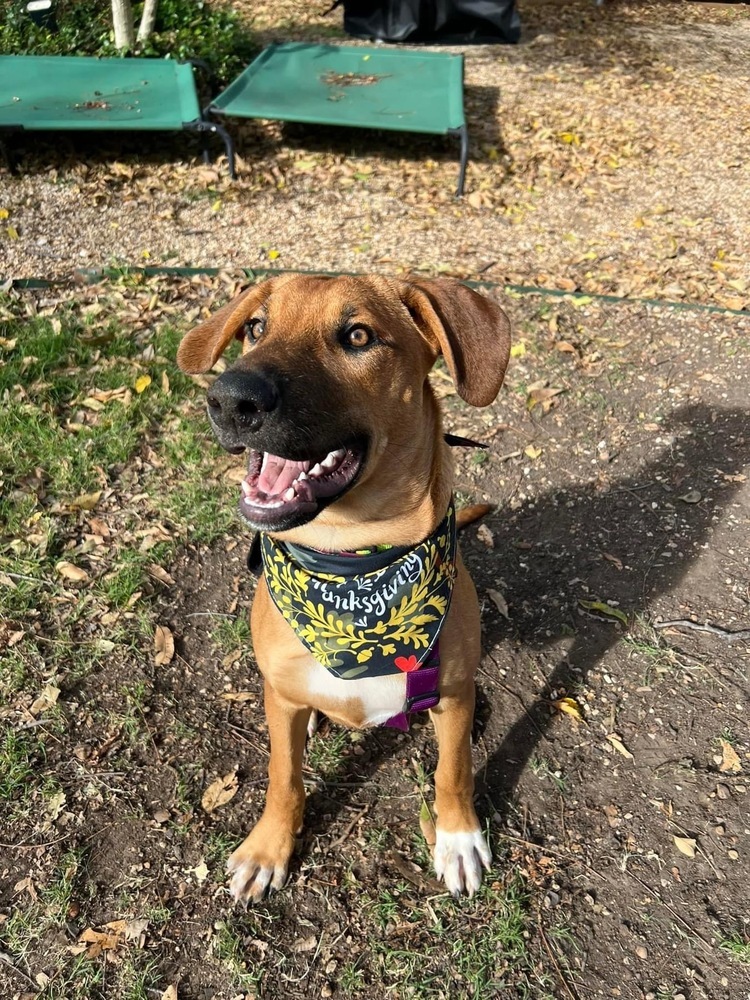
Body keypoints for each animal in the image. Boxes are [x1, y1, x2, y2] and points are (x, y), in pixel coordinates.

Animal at [179, 276, 516, 908]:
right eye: (256, 327)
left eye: (358, 336)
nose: (230, 399)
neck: (353, 567)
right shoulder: (282, 705)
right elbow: (284, 776)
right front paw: (269, 849)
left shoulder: (449, 696)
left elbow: (453, 770)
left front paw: (458, 838)